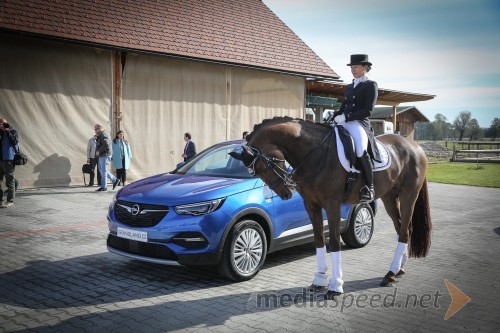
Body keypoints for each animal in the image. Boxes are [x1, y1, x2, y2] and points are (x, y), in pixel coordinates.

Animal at [230, 116, 430, 298]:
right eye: (255, 172)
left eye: (264, 166)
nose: (286, 193)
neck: (315, 154)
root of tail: (415, 146)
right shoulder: (312, 205)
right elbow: (319, 239)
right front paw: (319, 281)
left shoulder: (332, 204)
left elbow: (333, 242)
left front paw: (336, 286)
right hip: (389, 197)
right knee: (402, 229)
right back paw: (398, 270)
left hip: (408, 196)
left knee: (404, 232)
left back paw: (390, 274)